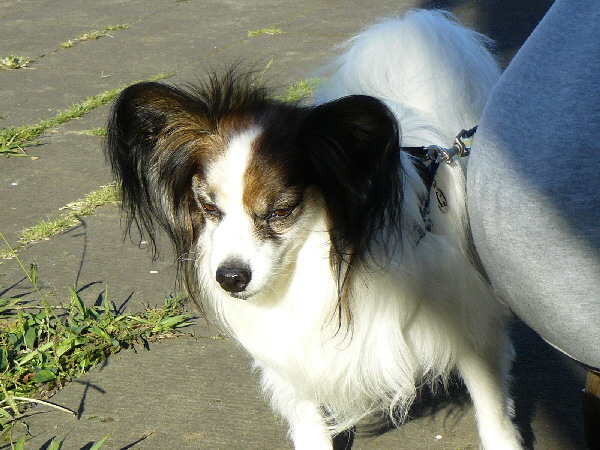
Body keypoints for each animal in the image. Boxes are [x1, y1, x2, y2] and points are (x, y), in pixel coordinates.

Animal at [105, 10, 523, 449]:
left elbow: (490, 402)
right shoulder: (294, 353)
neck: (320, 266)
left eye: (281, 211)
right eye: (209, 209)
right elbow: (307, 417)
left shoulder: (467, 319)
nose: (230, 278)